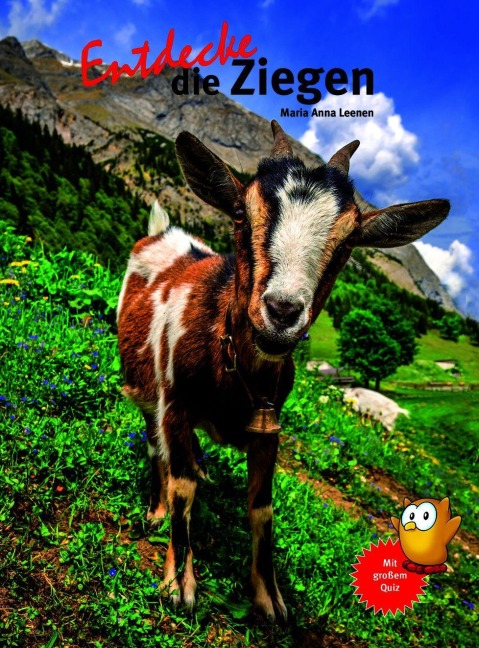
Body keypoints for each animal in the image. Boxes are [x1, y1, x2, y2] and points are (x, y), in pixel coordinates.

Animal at [117, 121, 449, 621]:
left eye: (349, 242)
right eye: (240, 212)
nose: (282, 311)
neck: (233, 371)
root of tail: (161, 233)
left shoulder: (269, 429)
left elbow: (262, 508)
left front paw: (269, 597)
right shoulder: (175, 404)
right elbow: (182, 487)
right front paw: (178, 584)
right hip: (145, 388)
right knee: (157, 446)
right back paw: (156, 508)